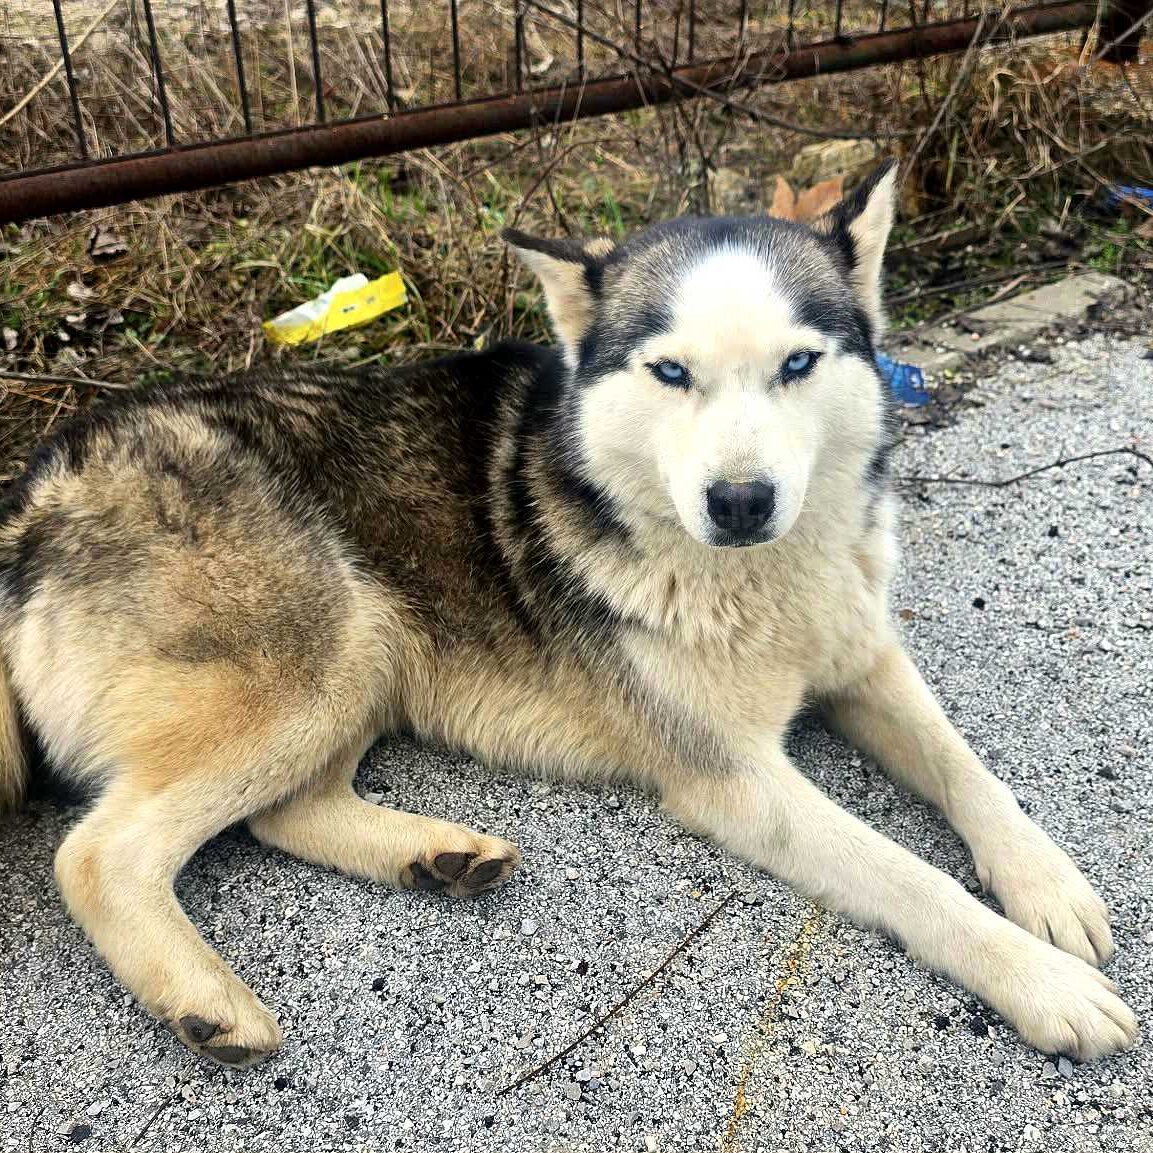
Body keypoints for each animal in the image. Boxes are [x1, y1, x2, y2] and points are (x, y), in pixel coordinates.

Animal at [0, 161, 1137, 1066]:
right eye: (669, 371)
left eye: (798, 364)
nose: (739, 502)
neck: (760, 579)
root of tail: (41, 485)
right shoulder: (739, 780)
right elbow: (912, 878)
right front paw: (1040, 982)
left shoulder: (864, 660)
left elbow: (968, 769)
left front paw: (1047, 884)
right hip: (329, 648)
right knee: (99, 855)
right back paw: (205, 998)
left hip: (363, 659)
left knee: (282, 808)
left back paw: (432, 855)